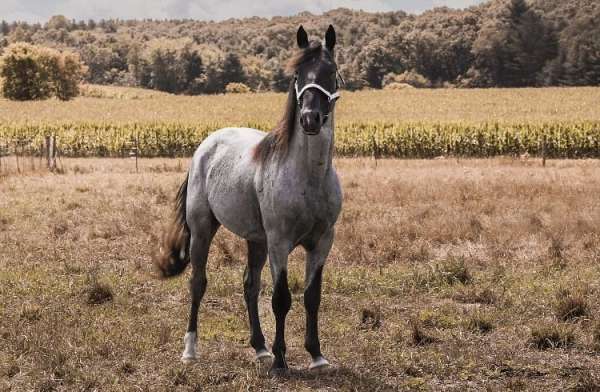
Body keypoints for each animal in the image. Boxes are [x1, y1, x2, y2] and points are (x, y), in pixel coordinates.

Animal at [154, 24, 342, 374]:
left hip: (256, 241)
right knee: (198, 282)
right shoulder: (280, 242)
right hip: (203, 230)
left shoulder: (322, 242)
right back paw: (190, 350)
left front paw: (316, 356)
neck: (307, 178)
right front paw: (281, 360)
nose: (309, 118)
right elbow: (281, 298)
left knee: (249, 286)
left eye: (330, 71)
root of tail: (207, 145)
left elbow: (312, 297)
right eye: (297, 75)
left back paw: (260, 348)